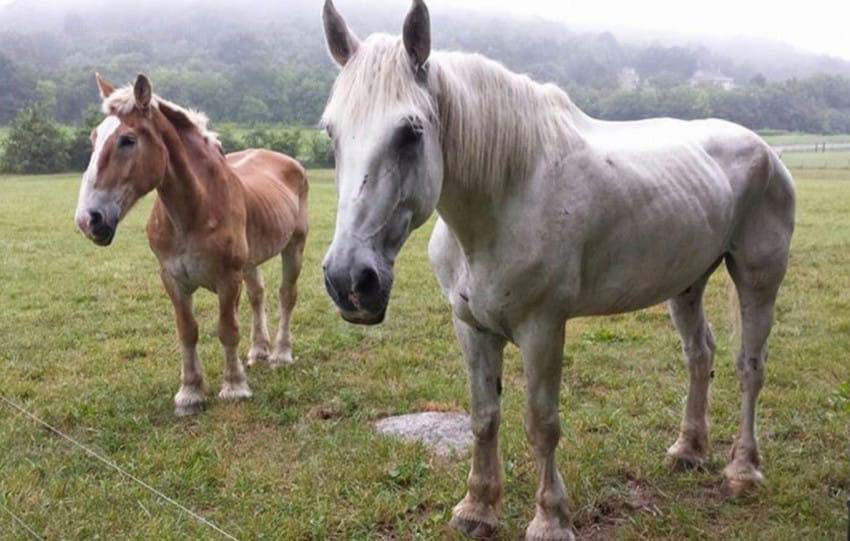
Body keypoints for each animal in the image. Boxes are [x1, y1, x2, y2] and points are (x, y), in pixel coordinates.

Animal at [76, 75, 308, 414]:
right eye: (94, 137)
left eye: (128, 140)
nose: (88, 219)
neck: (195, 209)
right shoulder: (173, 279)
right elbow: (187, 331)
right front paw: (190, 392)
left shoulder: (228, 279)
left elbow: (227, 329)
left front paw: (234, 386)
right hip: (250, 262)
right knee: (258, 295)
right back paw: (258, 351)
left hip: (294, 246)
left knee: (286, 295)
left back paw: (281, 354)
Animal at [318, 2, 796, 536]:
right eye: (330, 132)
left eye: (411, 131)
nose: (349, 281)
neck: (509, 193)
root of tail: (767, 151)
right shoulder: (471, 327)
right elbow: (484, 416)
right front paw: (477, 508)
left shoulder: (543, 328)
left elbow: (541, 424)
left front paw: (550, 519)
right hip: (687, 283)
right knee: (700, 355)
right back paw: (688, 451)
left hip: (758, 279)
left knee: (749, 366)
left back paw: (743, 469)